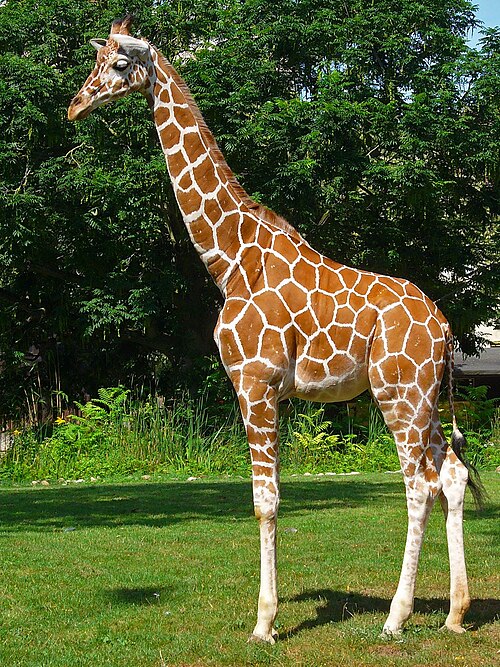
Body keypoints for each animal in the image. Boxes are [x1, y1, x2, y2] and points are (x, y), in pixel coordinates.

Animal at [68, 16, 480, 643]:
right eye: (95, 61)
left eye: (118, 64)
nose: (74, 106)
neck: (229, 258)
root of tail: (444, 325)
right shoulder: (272, 391)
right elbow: (271, 497)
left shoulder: (253, 383)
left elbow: (265, 501)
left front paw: (264, 622)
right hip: (425, 397)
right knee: (452, 475)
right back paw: (455, 613)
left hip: (398, 395)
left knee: (419, 486)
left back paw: (396, 616)